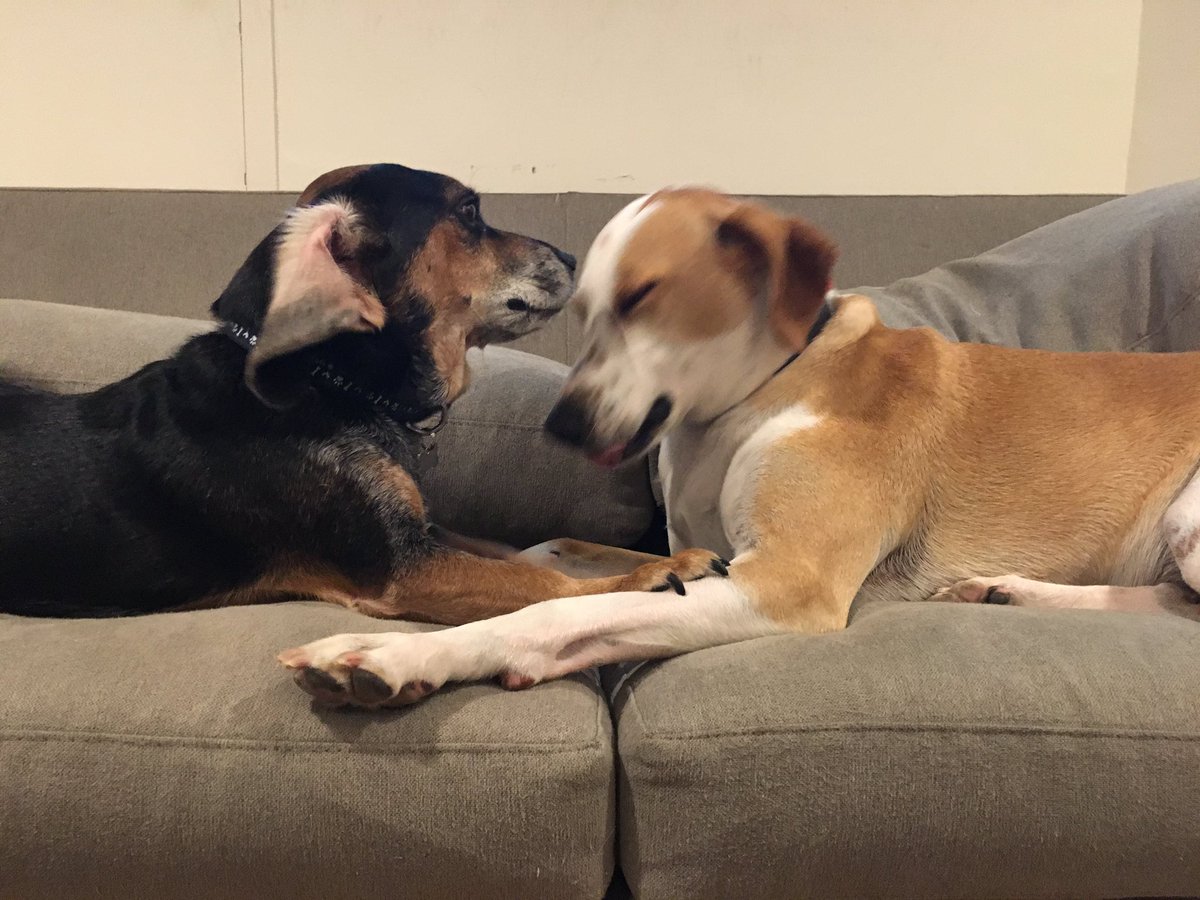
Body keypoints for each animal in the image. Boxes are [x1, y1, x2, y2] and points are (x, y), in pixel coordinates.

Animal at [0, 165, 716, 636]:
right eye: (469, 213)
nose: (571, 256)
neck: (328, 382)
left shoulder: (427, 530)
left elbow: (550, 546)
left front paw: (669, 557)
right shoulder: (403, 568)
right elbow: (548, 586)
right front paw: (639, 581)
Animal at [281, 186, 1200, 708]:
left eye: (644, 297)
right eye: (585, 308)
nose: (560, 426)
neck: (756, 395)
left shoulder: (784, 583)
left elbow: (558, 609)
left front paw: (397, 654)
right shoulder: (705, 551)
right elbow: (566, 557)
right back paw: (1004, 591)